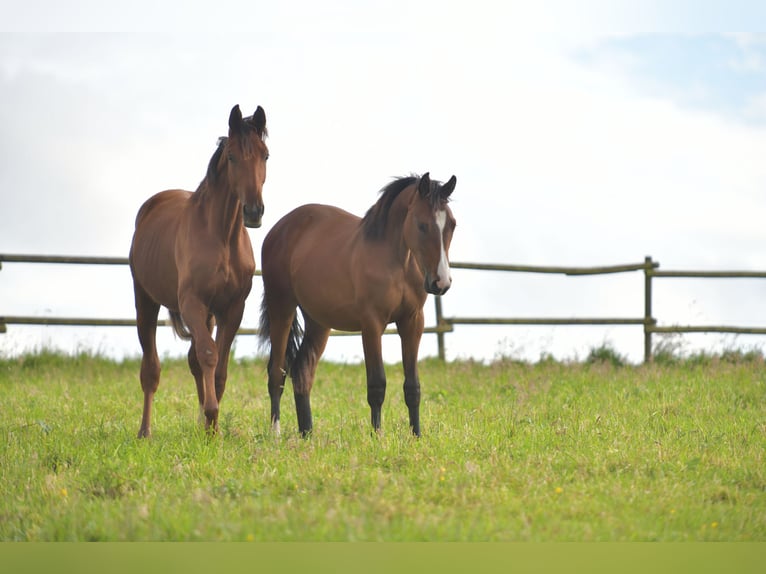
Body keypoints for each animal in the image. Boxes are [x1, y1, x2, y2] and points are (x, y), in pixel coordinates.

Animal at [133, 104, 272, 436]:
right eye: (232, 156)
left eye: (265, 155)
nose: (253, 212)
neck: (220, 236)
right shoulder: (192, 304)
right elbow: (209, 355)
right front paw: (210, 413)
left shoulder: (231, 309)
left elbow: (218, 367)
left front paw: (212, 429)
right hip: (145, 301)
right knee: (151, 369)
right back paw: (145, 431)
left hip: (206, 315)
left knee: (193, 360)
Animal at [260, 173, 460, 438]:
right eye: (421, 224)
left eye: (452, 224)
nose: (441, 282)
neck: (398, 263)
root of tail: (278, 229)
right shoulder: (372, 324)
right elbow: (377, 385)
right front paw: (377, 436)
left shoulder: (413, 321)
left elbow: (413, 386)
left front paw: (416, 436)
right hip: (281, 307)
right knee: (277, 372)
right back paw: (276, 434)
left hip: (318, 322)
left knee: (302, 371)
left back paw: (307, 435)